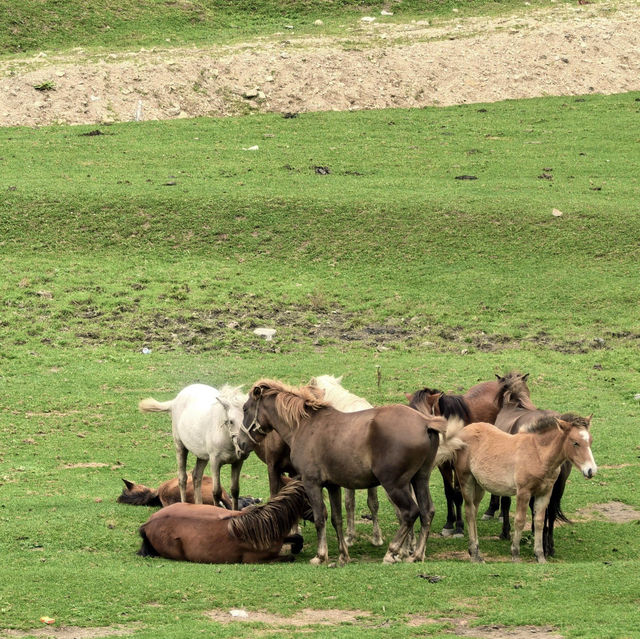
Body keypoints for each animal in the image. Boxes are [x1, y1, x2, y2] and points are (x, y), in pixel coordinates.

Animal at [138, 480, 312, 564]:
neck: (261, 525)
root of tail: (147, 524)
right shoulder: (254, 560)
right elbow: (290, 557)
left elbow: (297, 538)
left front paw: (297, 546)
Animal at [404, 372, 528, 536]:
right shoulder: (444, 465)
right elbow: (449, 492)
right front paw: (449, 523)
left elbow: (457, 494)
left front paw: (459, 527)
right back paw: (491, 510)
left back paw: (500, 513)